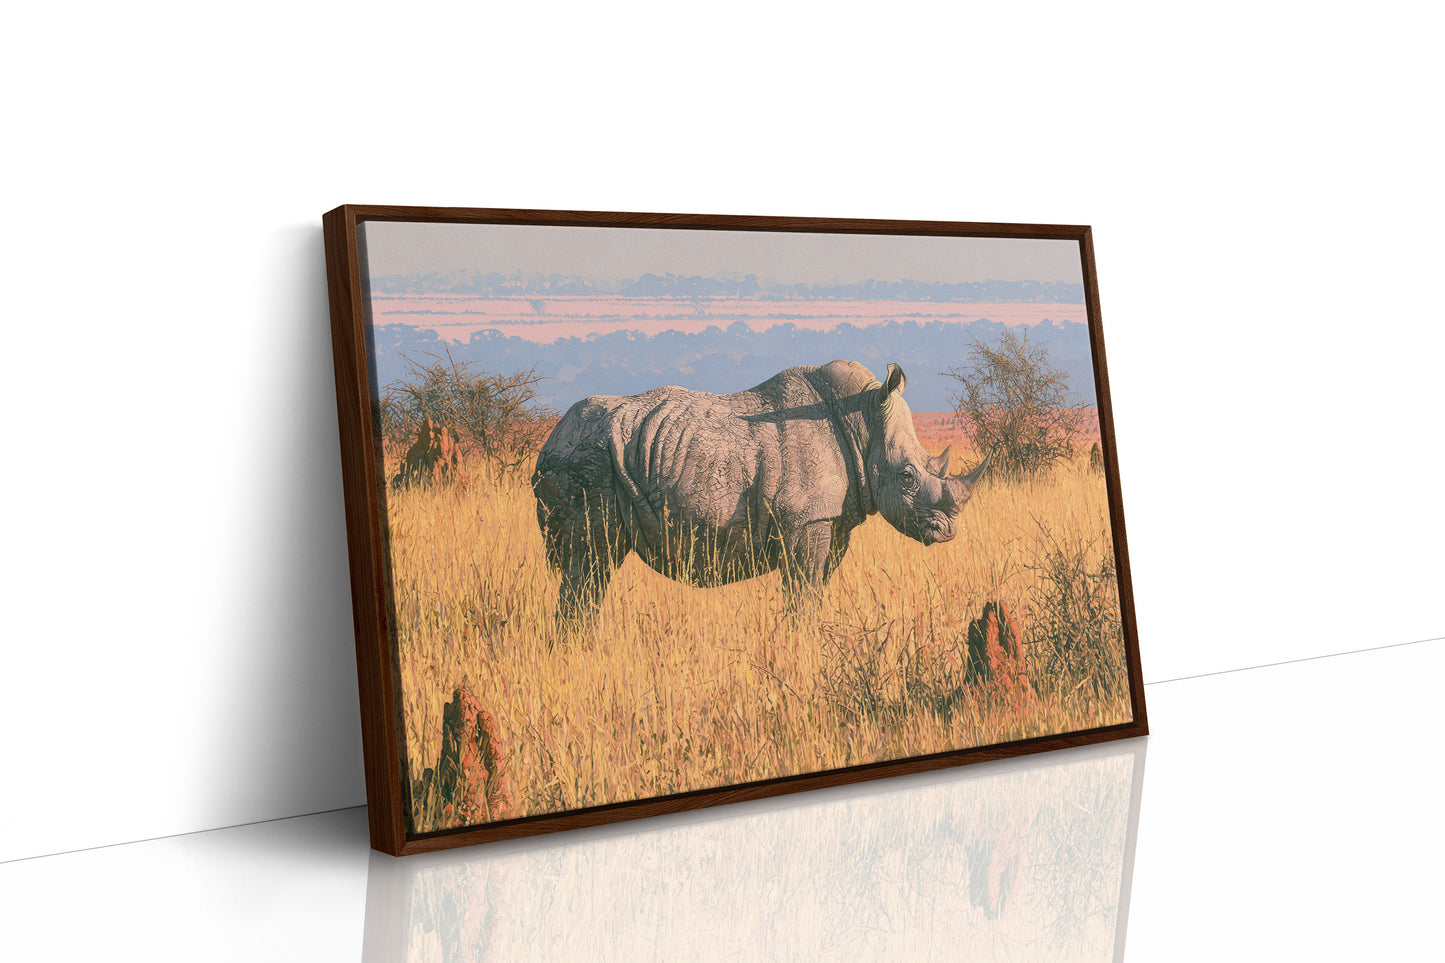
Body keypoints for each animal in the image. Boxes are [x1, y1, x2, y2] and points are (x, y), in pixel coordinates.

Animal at [531, 359, 990, 623]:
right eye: (908, 476)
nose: (947, 531)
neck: (863, 420)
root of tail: (550, 438)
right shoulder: (806, 518)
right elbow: (802, 593)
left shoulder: (832, 521)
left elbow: (814, 589)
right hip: (586, 456)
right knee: (591, 560)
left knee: (595, 567)